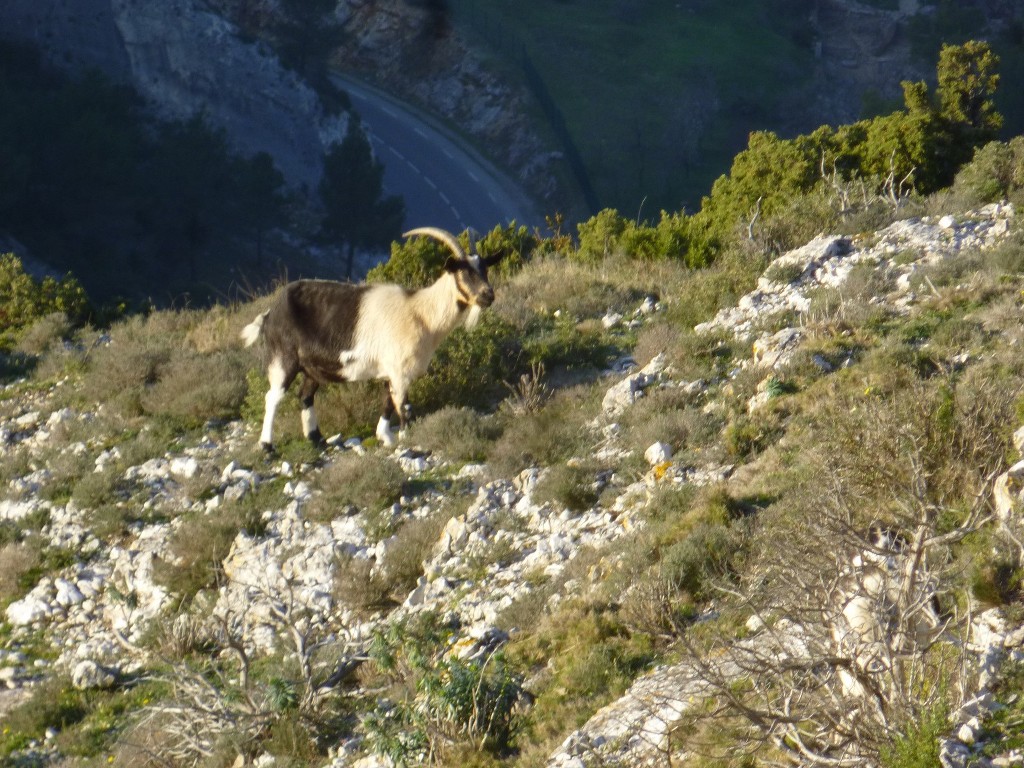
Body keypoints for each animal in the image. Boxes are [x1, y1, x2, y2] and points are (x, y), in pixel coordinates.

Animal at [240, 228, 503, 450]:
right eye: (464, 271)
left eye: (485, 269)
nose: (488, 296)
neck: (421, 312)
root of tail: (269, 314)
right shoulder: (399, 370)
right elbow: (404, 406)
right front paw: (406, 440)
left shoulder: (393, 371)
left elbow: (388, 402)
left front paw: (385, 437)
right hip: (283, 358)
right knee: (273, 397)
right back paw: (267, 446)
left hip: (313, 368)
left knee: (305, 396)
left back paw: (317, 440)